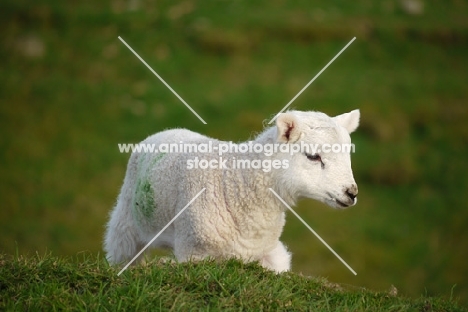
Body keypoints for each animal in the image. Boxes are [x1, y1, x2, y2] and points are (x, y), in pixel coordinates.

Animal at [105, 109, 358, 272]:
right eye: (313, 156)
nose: (352, 193)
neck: (236, 184)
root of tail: (168, 130)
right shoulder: (193, 249)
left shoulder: (267, 252)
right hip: (126, 220)